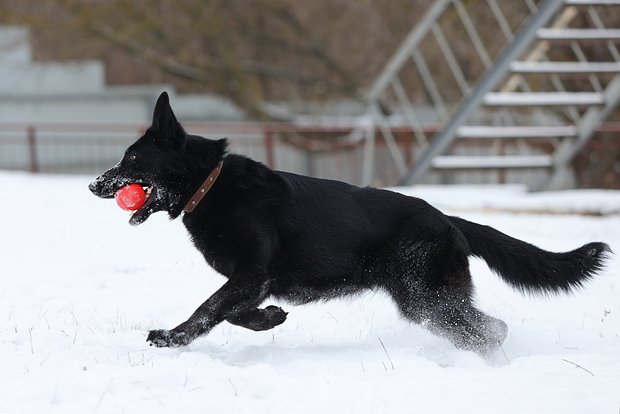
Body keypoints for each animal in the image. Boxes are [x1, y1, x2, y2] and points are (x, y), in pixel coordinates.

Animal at [88, 93, 612, 356]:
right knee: (488, 328)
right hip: (430, 302)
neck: (211, 185)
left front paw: (172, 339)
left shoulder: (251, 274)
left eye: (131, 159)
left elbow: (207, 309)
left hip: (426, 300)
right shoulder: (254, 280)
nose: (94, 184)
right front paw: (268, 319)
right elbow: (231, 311)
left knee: (489, 330)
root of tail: (445, 218)